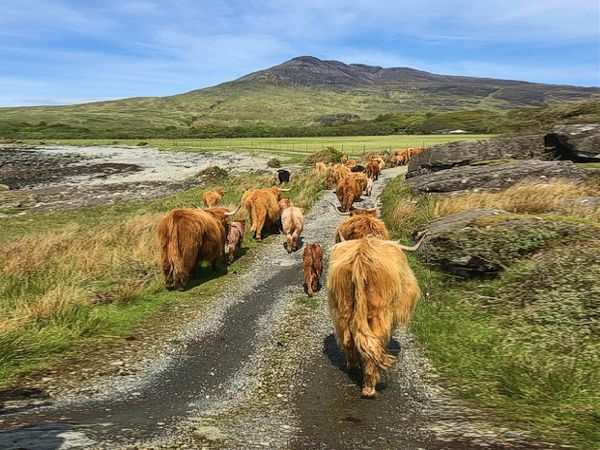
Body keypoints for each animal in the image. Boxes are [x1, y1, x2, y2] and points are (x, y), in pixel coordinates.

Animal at [328, 236, 422, 398]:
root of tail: (361, 256)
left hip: (343, 309)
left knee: (348, 339)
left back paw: (353, 366)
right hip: (379, 312)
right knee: (374, 344)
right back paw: (369, 389)